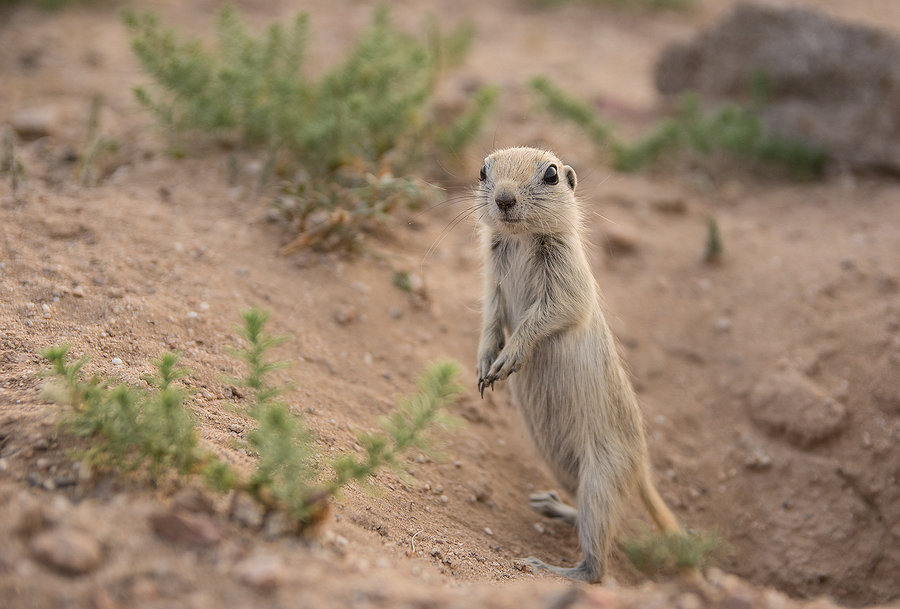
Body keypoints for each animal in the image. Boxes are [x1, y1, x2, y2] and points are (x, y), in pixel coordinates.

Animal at [474, 145, 680, 580]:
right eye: (482, 171)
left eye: (552, 175)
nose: (504, 199)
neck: (521, 239)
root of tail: (641, 467)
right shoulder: (492, 282)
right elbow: (490, 319)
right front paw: (485, 365)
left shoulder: (567, 285)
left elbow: (543, 318)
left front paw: (508, 359)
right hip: (564, 469)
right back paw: (552, 506)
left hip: (600, 480)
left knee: (597, 566)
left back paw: (551, 567)